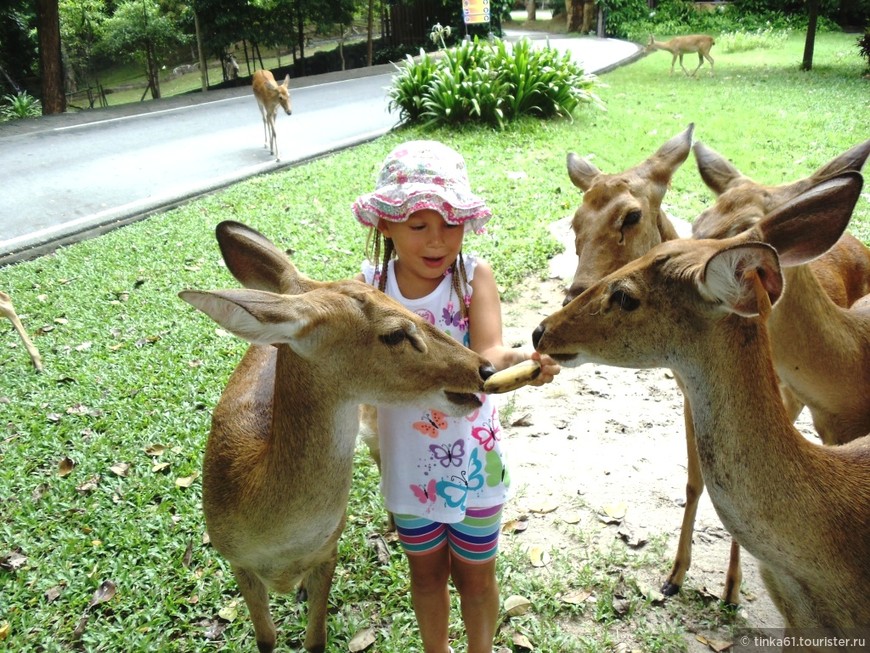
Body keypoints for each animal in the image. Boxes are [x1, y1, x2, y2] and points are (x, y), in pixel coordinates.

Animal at [180, 220, 494, 652]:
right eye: (395, 334)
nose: (484, 368)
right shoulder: (236, 561)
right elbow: (266, 639)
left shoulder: (329, 550)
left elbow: (316, 640)